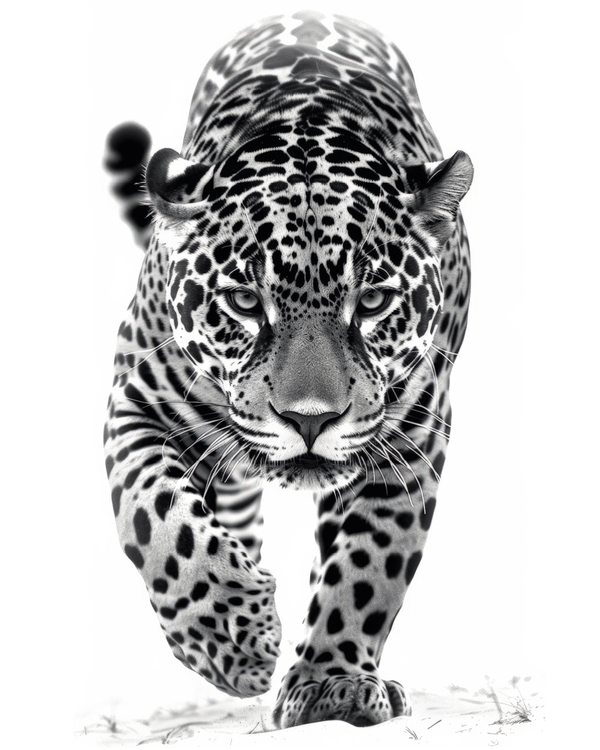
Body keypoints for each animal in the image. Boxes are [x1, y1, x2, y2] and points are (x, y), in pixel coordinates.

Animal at [104, 9, 473, 729]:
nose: (310, 420)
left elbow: (368, 564)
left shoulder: (414, 436)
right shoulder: (135, 401)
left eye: (373, 302)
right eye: (246, 303)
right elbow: (157, 517)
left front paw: (331, 683)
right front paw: (231, 638)